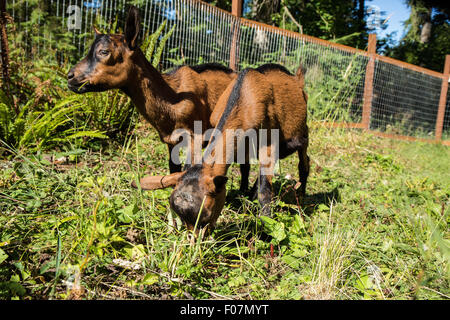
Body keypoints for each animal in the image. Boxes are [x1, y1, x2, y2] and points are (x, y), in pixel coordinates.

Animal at [67, 6, 237, 178]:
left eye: (103, 51)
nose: (70, 76)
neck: (173, 99)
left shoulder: (195, 135)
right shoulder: (171, 140)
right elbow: (173, 170)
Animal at [155, 63, 310, 231]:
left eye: (207, 215)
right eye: (183, 220)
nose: (197, 237)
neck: (244, 97)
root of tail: (297, 78)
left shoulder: (268, 141)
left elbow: (265, 188)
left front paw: (267, 227)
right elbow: (245, 168)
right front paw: (244, 196)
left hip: (302, 131)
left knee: (304, 160)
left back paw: (302, 196)